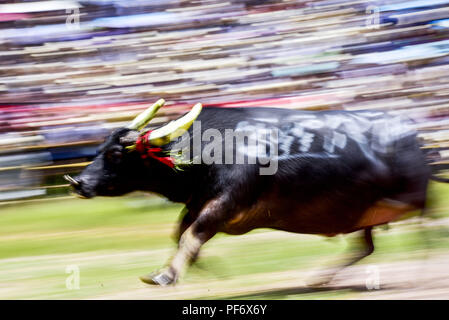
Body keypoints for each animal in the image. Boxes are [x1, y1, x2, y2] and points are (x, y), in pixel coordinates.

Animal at [65, 99, 446, 286]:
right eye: (99, 148)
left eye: (117, 154)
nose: (78, 183)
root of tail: (414, 135)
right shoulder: (200, 203)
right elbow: (181, 234)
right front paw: (208, 270)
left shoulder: (224, 204)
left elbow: (190, 235)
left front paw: (165, 276)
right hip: (364, 214)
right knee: (365, 247)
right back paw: (319, 279)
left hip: (415, 202)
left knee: (425, 236)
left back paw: (421, 276)